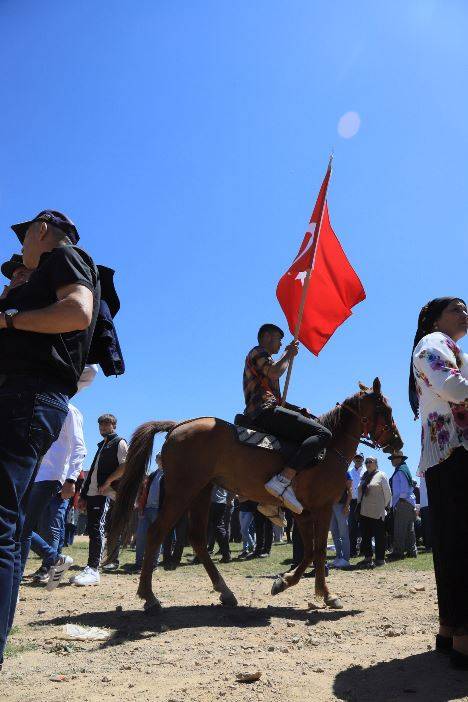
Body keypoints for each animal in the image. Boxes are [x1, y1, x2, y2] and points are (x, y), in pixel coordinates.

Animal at [109, 376, 402, 612]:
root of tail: (175, 427)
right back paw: (149, 597)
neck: (328, 449)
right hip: (183, 492)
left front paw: (285, 582)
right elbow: (317, 550)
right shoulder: (322, 508)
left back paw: (225, 592)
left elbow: (308, 551)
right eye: (384, 409)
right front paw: (324, 594)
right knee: (157, 532)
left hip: (201, 491)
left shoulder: (303, 514)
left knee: (197, 539)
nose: (397, 442)